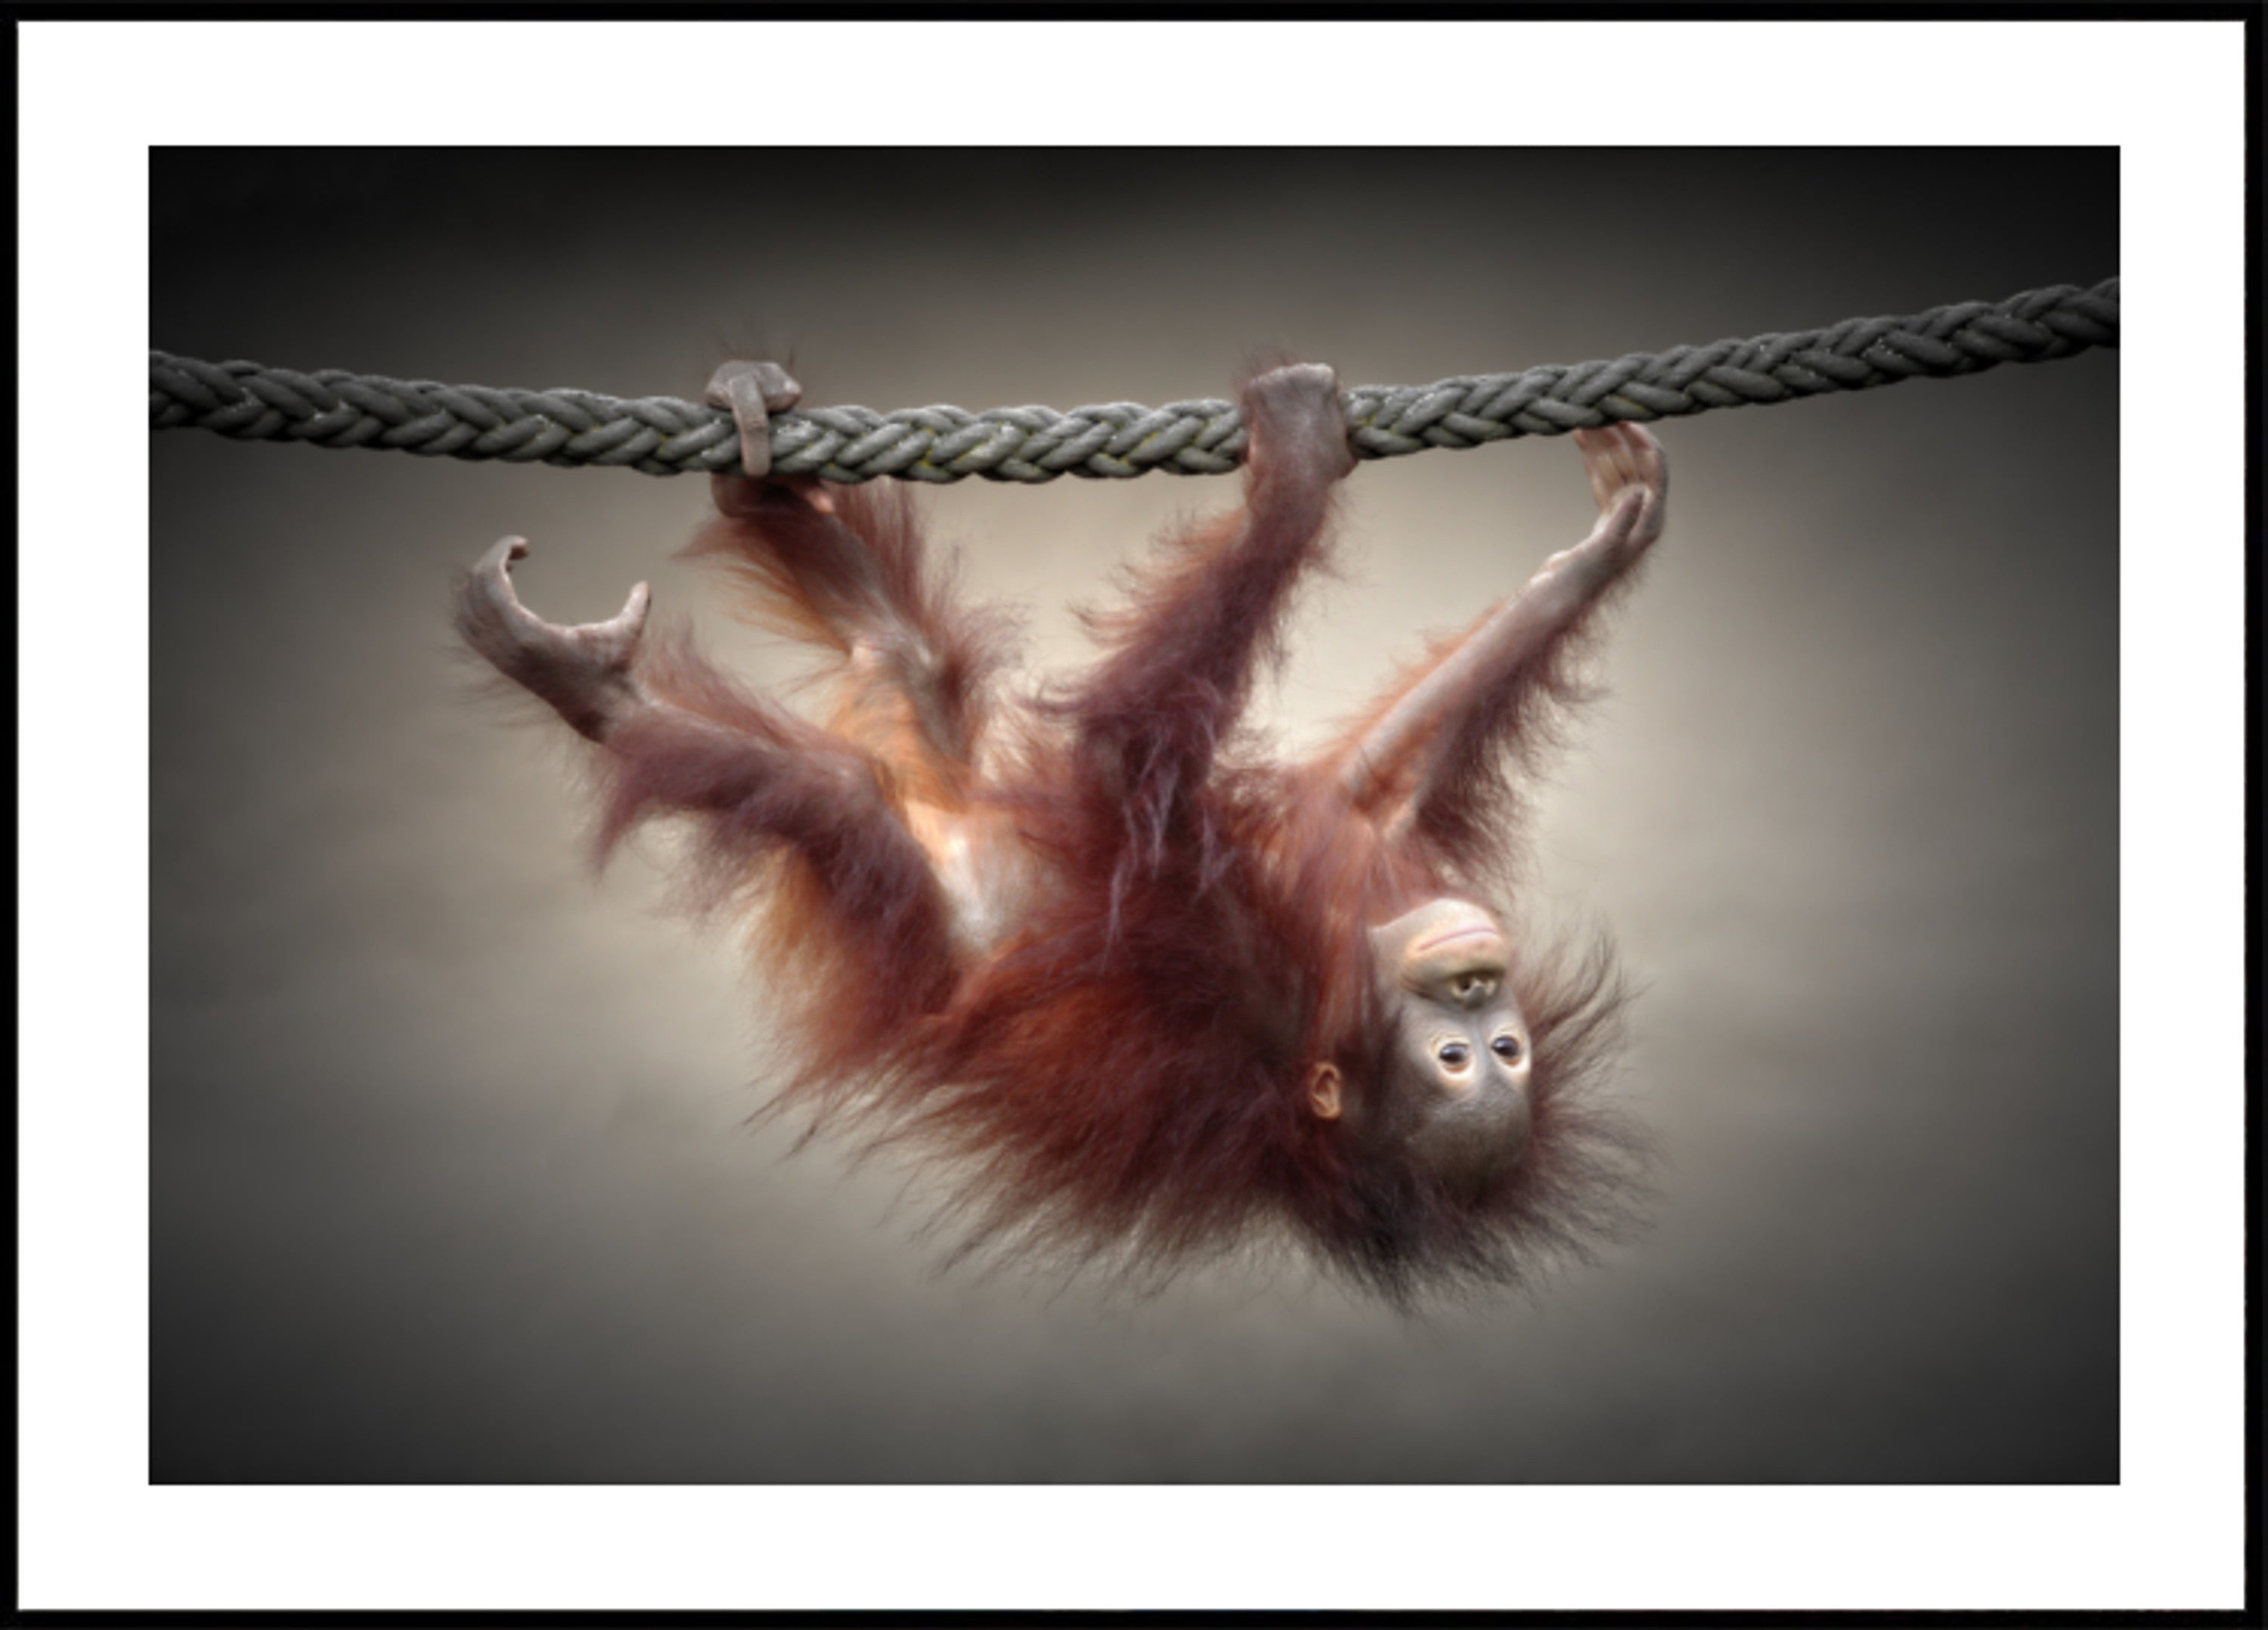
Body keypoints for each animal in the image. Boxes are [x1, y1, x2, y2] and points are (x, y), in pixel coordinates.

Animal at [457, 360, 1666, 1303]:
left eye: (1492, 1058)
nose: (1477, 986)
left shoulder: (1239, 977)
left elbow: (1124, 757)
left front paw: (1291, 476)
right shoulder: (1342, 885)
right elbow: (1385, 776)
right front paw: (1605, 539)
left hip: (898, 879)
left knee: (826, 790)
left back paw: (586, 680)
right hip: (928, 745)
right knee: (903, 655)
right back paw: (757, 457)